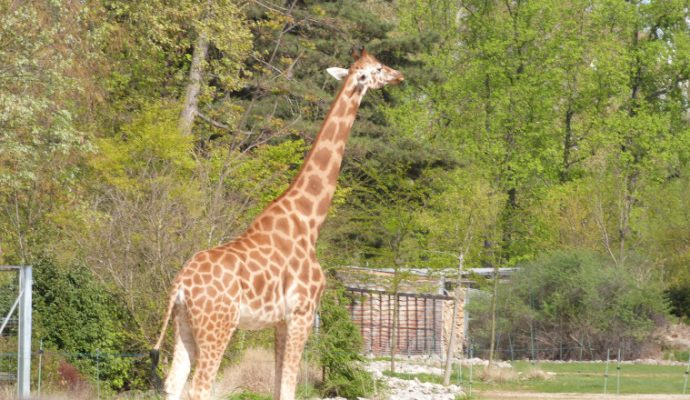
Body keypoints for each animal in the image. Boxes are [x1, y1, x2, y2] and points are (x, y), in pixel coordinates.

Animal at [149, 49, 404, 400]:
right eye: (378, 68)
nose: (399, 75)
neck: (309, 220)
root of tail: (181, 286)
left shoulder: (281, 322)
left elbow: (277, 386)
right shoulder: (302, 314)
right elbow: (288, 388)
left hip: (183, 324)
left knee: (173, 382)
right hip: (218, 326)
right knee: (199, 387)